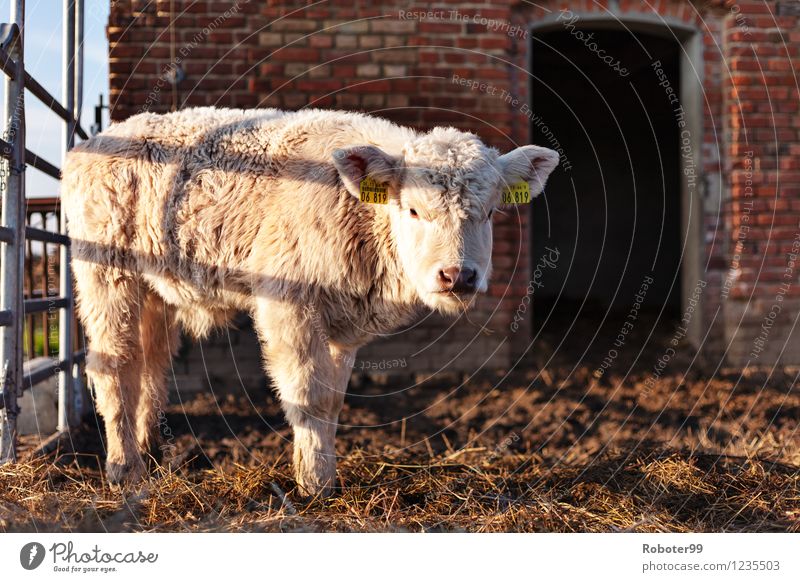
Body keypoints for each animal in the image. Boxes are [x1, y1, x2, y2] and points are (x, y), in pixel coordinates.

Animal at [62, 107, 560, 496]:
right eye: (414, 210)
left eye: (490, 211)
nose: (458, 275)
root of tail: (93, 142)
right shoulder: (289, 305)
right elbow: (308, 395)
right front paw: (315, 485)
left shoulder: (343, 328)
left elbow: (332, 399)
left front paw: (319, 471)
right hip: (105, 273)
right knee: (114, 365)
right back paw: (124, 469)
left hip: (153, 291)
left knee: (151, 365)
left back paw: (151, 453)